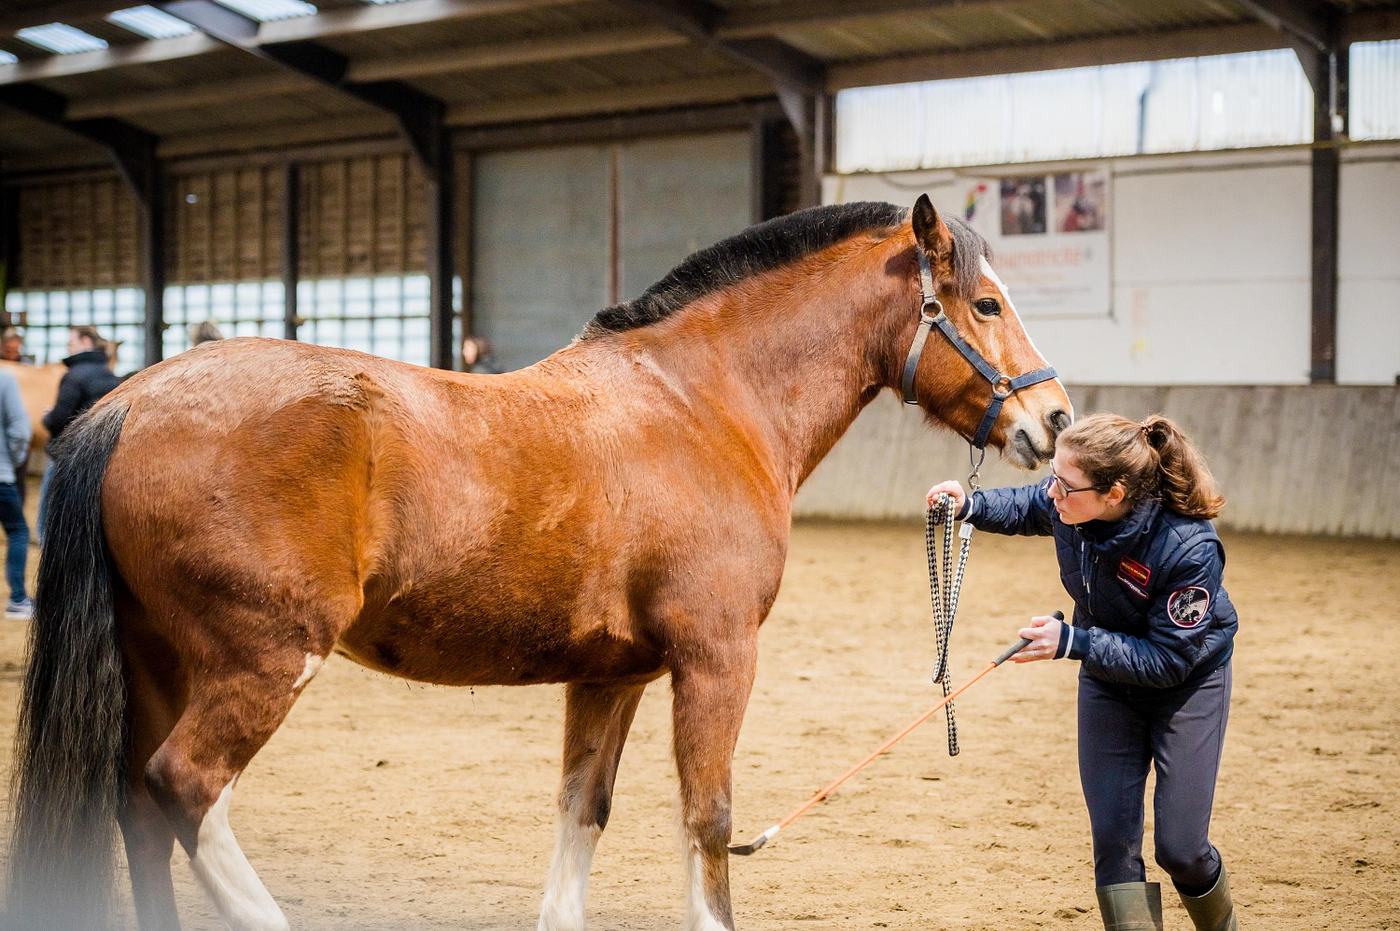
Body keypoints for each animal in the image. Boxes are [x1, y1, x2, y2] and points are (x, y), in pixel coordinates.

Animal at [6, 196, 1071, 931]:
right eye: (985, 302)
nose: (1054, 419)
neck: (700, 403)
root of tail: (129, 403)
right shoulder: (717, 658)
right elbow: (708, 818)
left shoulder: (611, 675)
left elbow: (581, 813)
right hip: (264, 659)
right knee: (185, 786)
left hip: (159, 663)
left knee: (140, 810)